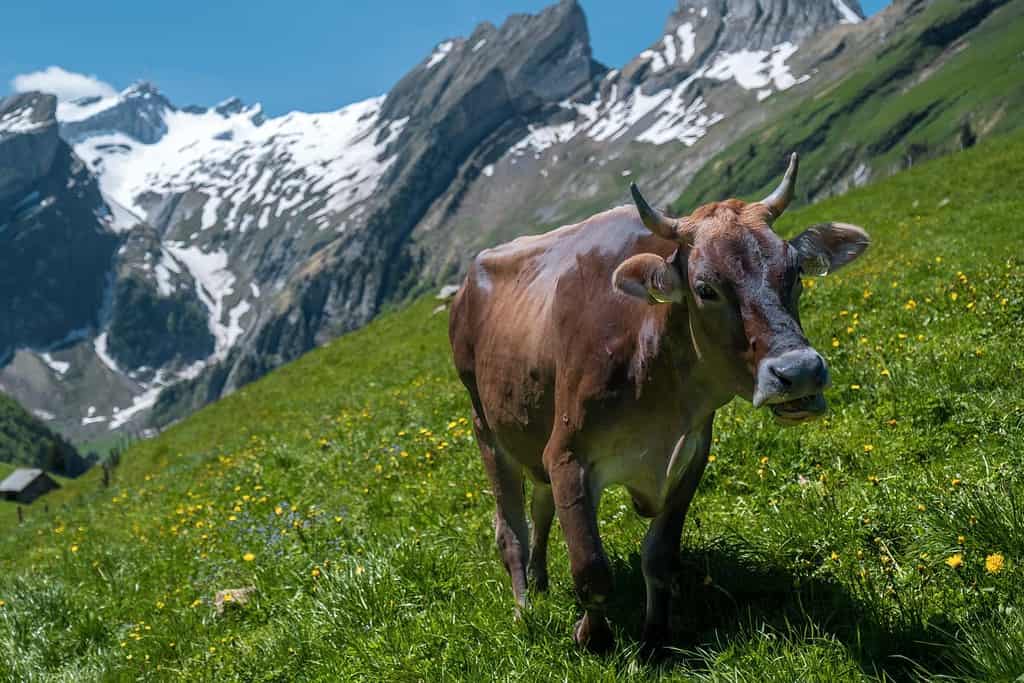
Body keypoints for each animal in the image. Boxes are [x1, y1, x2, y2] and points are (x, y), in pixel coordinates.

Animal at [448, 154, 869, 652]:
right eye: (705, 288)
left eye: (796, 272)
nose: (799, 371)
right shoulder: (567, 454)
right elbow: (591, 568)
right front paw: (592, 638)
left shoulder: (692, 454)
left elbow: (660, 557)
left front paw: (654, 638)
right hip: (486, 429)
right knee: (511, 529)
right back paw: (523, 609)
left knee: (540, 507)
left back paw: (540, 579)